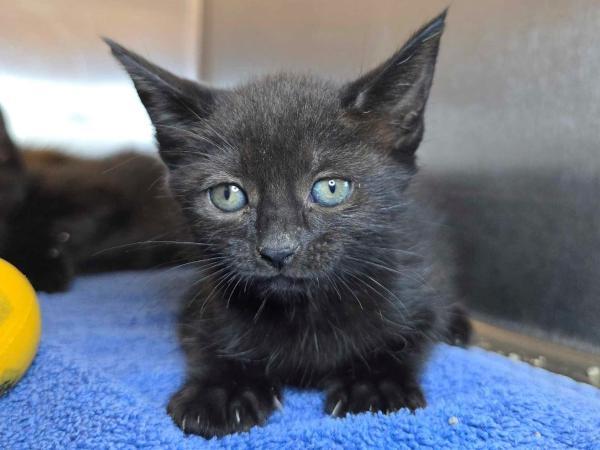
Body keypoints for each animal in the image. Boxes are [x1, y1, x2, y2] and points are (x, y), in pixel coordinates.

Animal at [110, 10, 472, 438]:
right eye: (227, 195)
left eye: (331, 188)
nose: (278, 250)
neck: (303, 313)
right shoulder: (200, 302)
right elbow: (209, 342)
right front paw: (223, 390)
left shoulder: (417, 277)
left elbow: (410, 335)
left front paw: (374, 385)